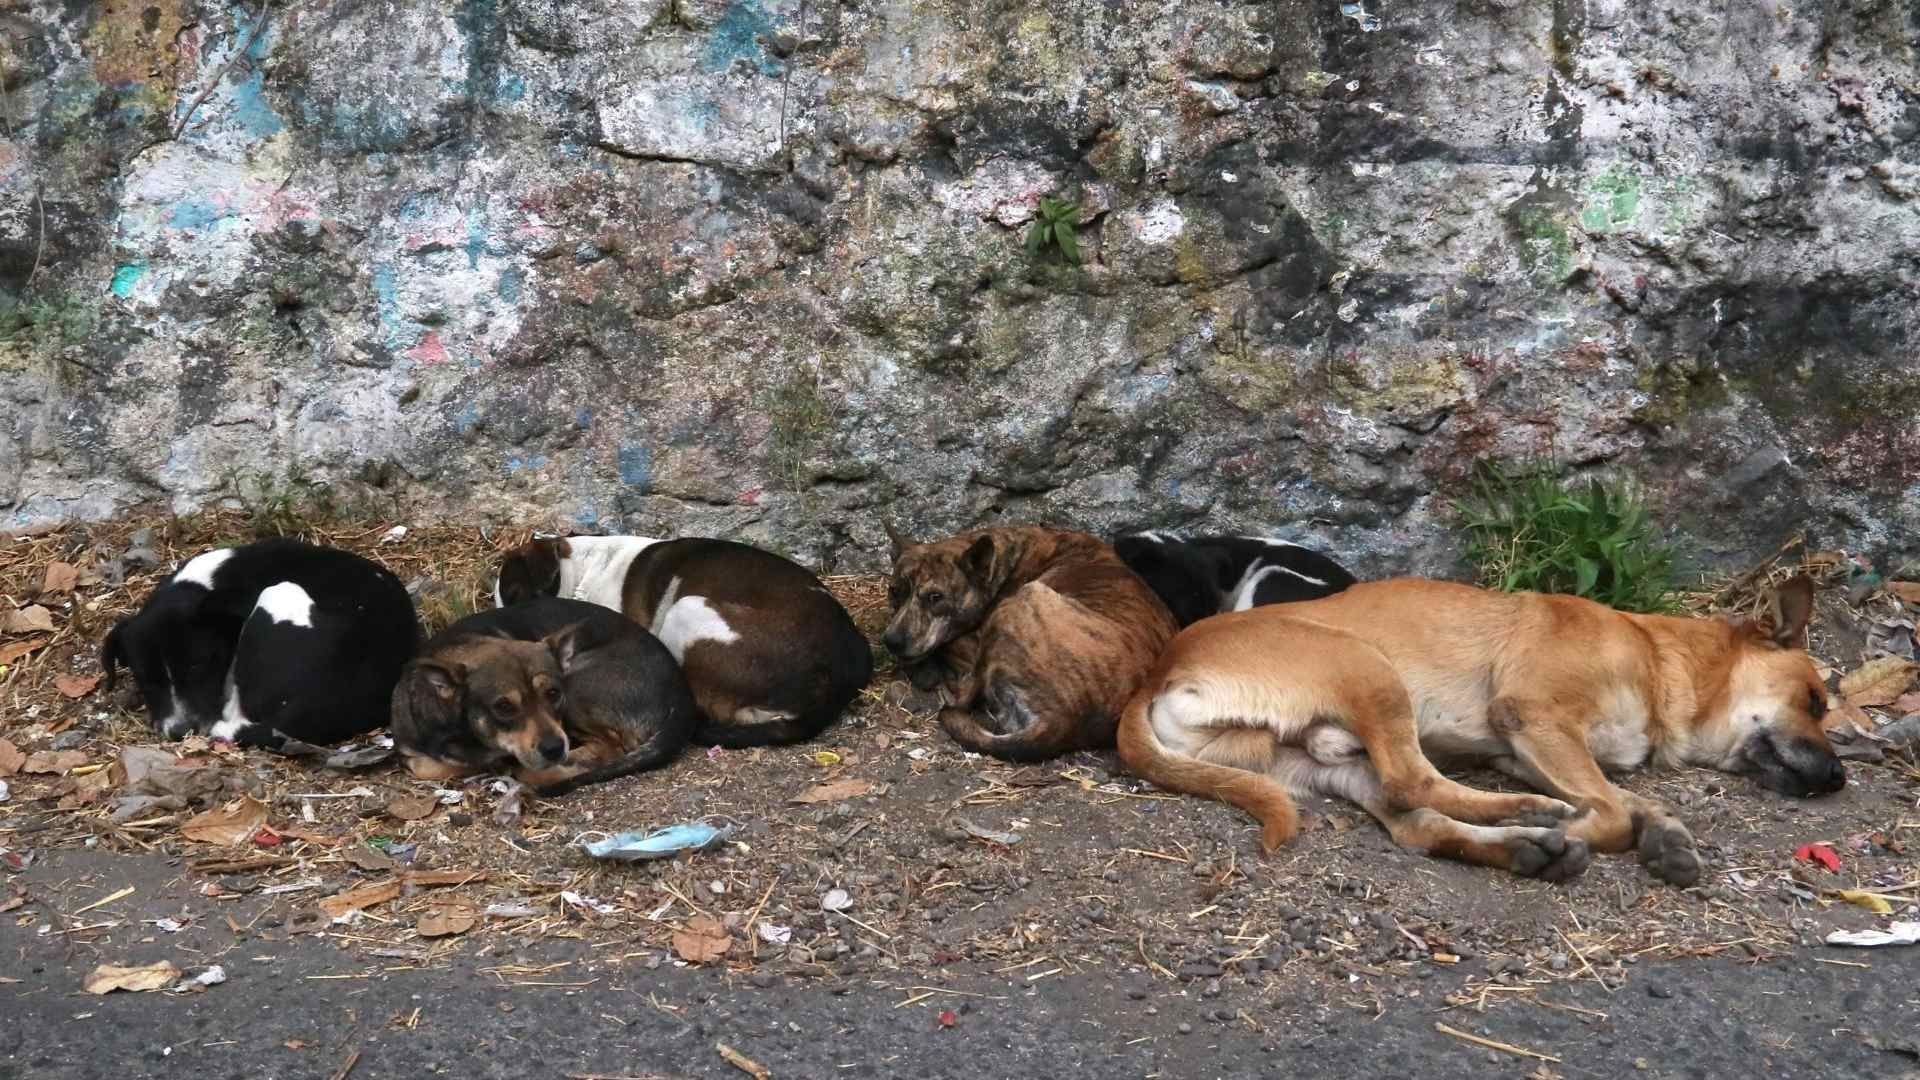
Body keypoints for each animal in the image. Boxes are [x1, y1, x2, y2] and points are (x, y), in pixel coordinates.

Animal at [385, 591, 695, 795]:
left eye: (554, 693)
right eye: (504, 707)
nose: (555, 748)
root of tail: (681, 694)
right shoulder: (411, 754)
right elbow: (430, 766)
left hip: (579, 687)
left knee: (609, 748)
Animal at [879, 522, 1175, 757]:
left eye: (935, 597)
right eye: (894, 591)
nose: (891, 641)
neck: (1003, 563)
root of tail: (1062, 721)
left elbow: (949, 646)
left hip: (1021, 599)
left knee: (965, 694)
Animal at [1121, 576, 1835, 880]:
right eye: (1816, 700)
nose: (1838, 779)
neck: (1657, 655)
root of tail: (1158, 674)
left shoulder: (1528, 752)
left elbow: (1629, 798)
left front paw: (1666, 834)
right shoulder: (1535, 718)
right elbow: (1609, 812)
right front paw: (1600, 827)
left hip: (1322, 760)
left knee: (1416, 821)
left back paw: (1524, 845)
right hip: (1368, 668)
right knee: (1415, 782)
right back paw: (1532, 821)